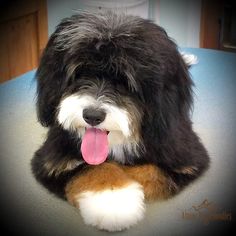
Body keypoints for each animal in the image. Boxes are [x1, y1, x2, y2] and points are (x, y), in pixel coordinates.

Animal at [30, 12, 208, 231]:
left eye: (125, 81)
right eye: (80, 73)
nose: (92, 116)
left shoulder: (187, 159)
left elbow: (149, 169)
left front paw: (117, 195)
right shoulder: (51, 161)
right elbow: (93, 167)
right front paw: (112, 198)